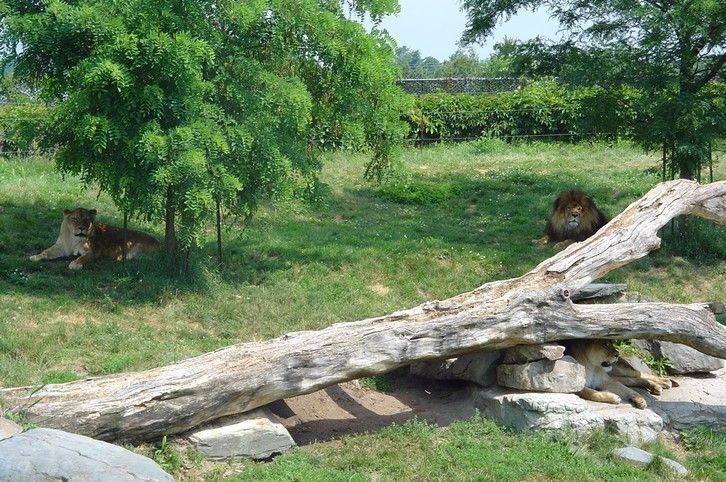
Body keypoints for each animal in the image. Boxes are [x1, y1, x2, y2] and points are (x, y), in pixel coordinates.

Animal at [29, 206, 159, 270]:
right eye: (75, 219)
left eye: (87, 219)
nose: (82, 228)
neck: (73, 238)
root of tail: (159, 243)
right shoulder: (61, 247)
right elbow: (46, 252)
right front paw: (36, 256)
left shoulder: (92, 252)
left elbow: (82, 258)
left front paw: (75, 264)